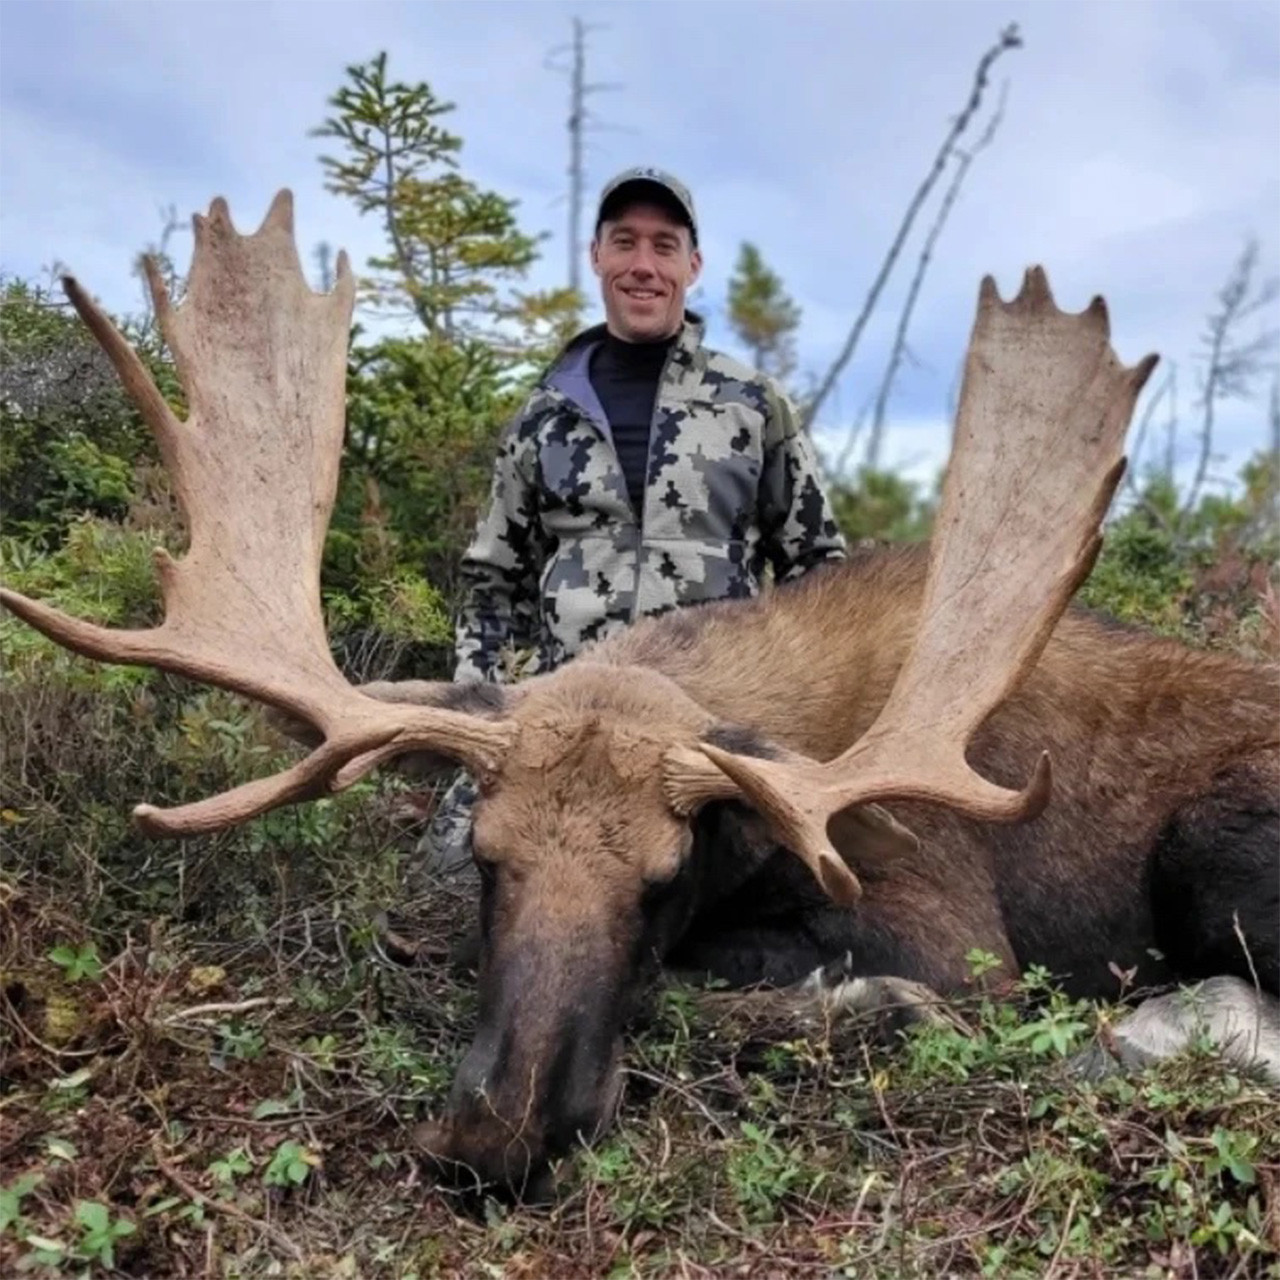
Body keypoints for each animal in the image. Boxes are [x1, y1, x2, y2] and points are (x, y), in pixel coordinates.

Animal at [5, 189, 1274, 1198]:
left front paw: (860, 1003)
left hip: (1215, 837)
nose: (492, 1135)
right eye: (488, 859)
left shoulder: (955, 934)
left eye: (663, 877)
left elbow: (730, 980)